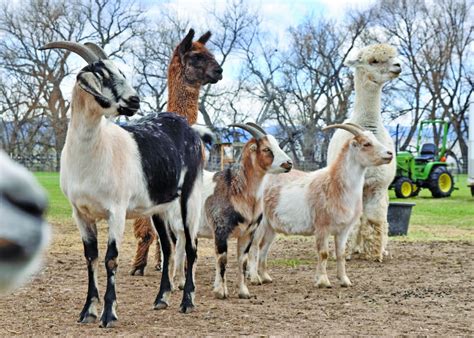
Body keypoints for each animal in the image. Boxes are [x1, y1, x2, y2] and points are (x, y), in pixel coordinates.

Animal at [39, 41, 210, 328]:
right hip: (159, 208)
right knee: (168, 245)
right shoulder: (80, 213)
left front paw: (109, 314)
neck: (95, 152)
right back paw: (161, 299)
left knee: (190, 245)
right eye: (102, 75)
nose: (134, 101)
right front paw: (88, 311)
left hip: (190, 197)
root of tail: (190, 130)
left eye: (120, 71)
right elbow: (91, 257)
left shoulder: (116, 210)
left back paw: (187, 302)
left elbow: (111, 259)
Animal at [248, 124, 392, 288]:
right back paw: (255, 278)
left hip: (270, 227)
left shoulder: (343, 230)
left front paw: (345, 280)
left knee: (264, 247)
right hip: (259, 224)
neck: (335, 184)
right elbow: (323, 253)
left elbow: (341, 254)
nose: (390, 154)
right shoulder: (322, 227)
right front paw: (323, 281)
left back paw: (265, 277)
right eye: (366, 144)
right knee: (254, 247)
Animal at [328, 43, 402, 260]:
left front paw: (374, 254)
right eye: (374, 60)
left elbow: (375, 220)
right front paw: (344, 252)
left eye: (394, 55)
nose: (398, 66)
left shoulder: (378, 185)